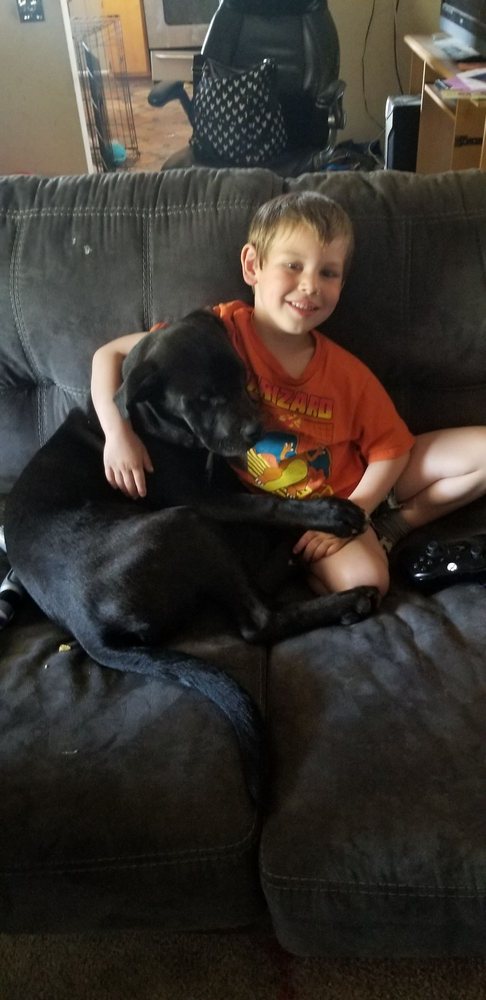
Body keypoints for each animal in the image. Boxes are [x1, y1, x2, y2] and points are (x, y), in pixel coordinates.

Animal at [4, 311, 379, 803]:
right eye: (201, 399)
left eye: (242, 378)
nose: (256, 432)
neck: (151, 422)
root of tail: (86, 632)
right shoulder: (200, 499)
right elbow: (267, 503)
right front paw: (329, 513)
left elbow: (258, 496)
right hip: (186, 524)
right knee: (258, 620)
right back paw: (343, 593)